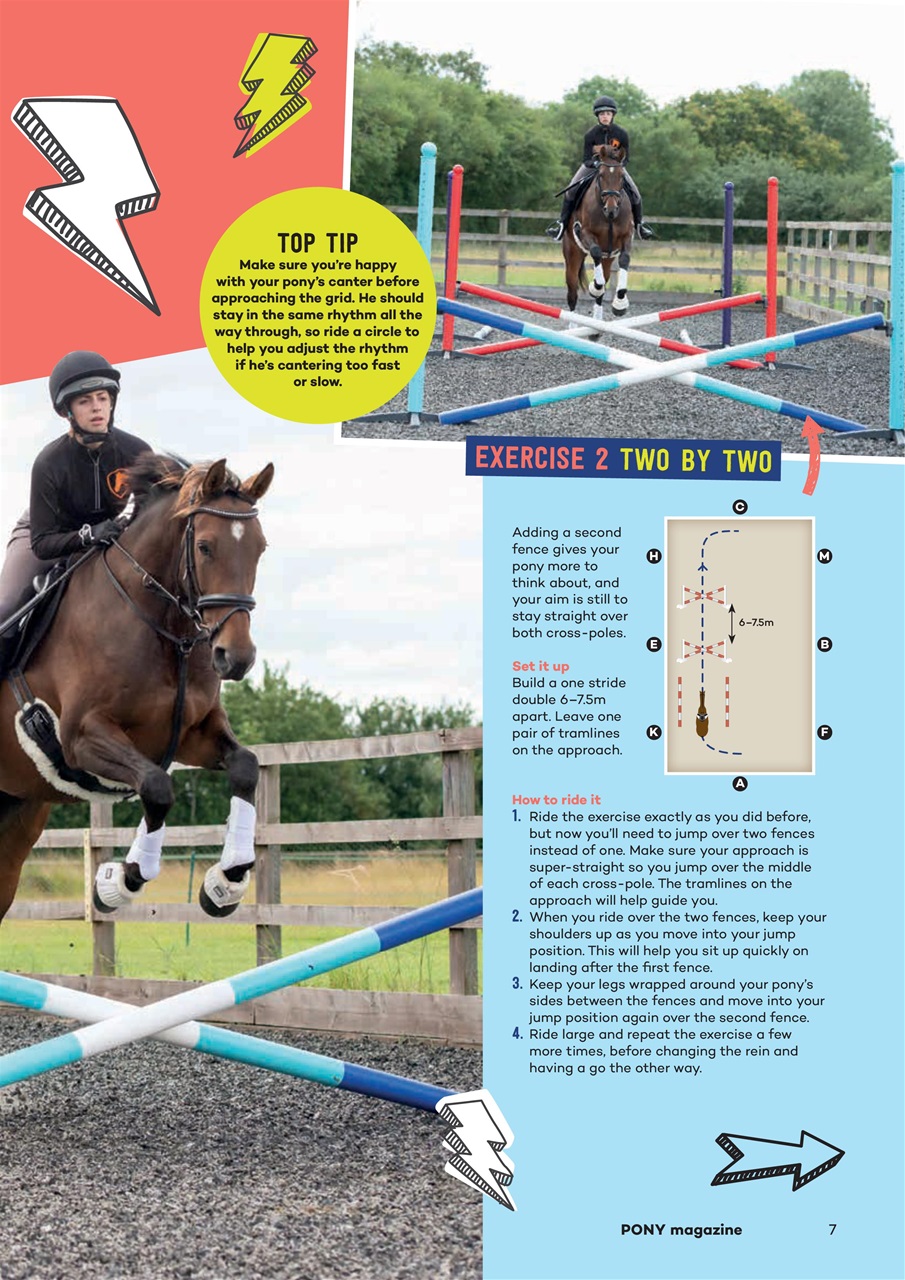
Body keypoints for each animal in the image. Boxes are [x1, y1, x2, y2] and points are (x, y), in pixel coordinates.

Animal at [0, 453, 273, 924]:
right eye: (205, 546)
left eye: (260, 547)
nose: (235, 657)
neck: (163, 628)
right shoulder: (82, 738)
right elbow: (157, 788)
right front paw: (117, 882)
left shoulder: (191, 734)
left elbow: (245, 766)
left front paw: (226, 881)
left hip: (17, 813)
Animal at [563, 142, 634, 318]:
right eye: (601, 175)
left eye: (621, 176)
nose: (611, 210)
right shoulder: (586, 234)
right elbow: (595, 251)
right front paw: (595, 286)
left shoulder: (626, 236)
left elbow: (624, 259)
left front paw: (620, 302)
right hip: (572, 254)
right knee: (572, 293)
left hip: (607, 258)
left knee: (602, 289)